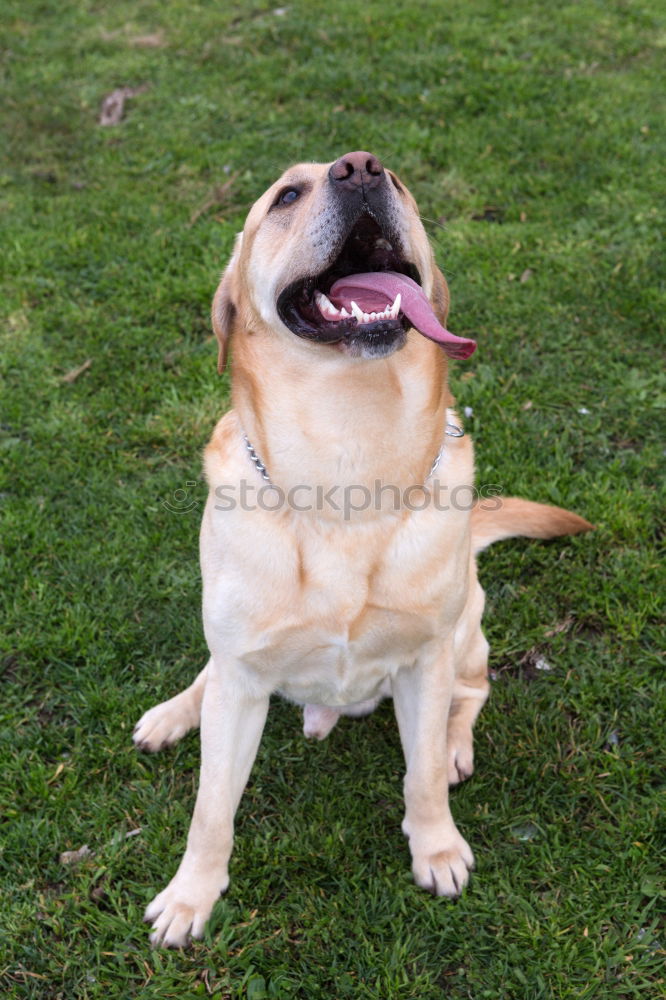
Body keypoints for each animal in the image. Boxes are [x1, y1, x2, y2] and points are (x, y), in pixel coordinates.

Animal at [132, 150, 588, 944]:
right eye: (286, 196)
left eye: (397, 181)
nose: (362, 168)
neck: (347, 463)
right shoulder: (242, 677)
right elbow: (211, 808)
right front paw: (192, 896)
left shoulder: (425, 659)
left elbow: (422, 774)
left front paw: (437, 847)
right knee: (209, 675)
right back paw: (173, 713)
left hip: (467, 630)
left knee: (474, 692)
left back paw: (457, 743)